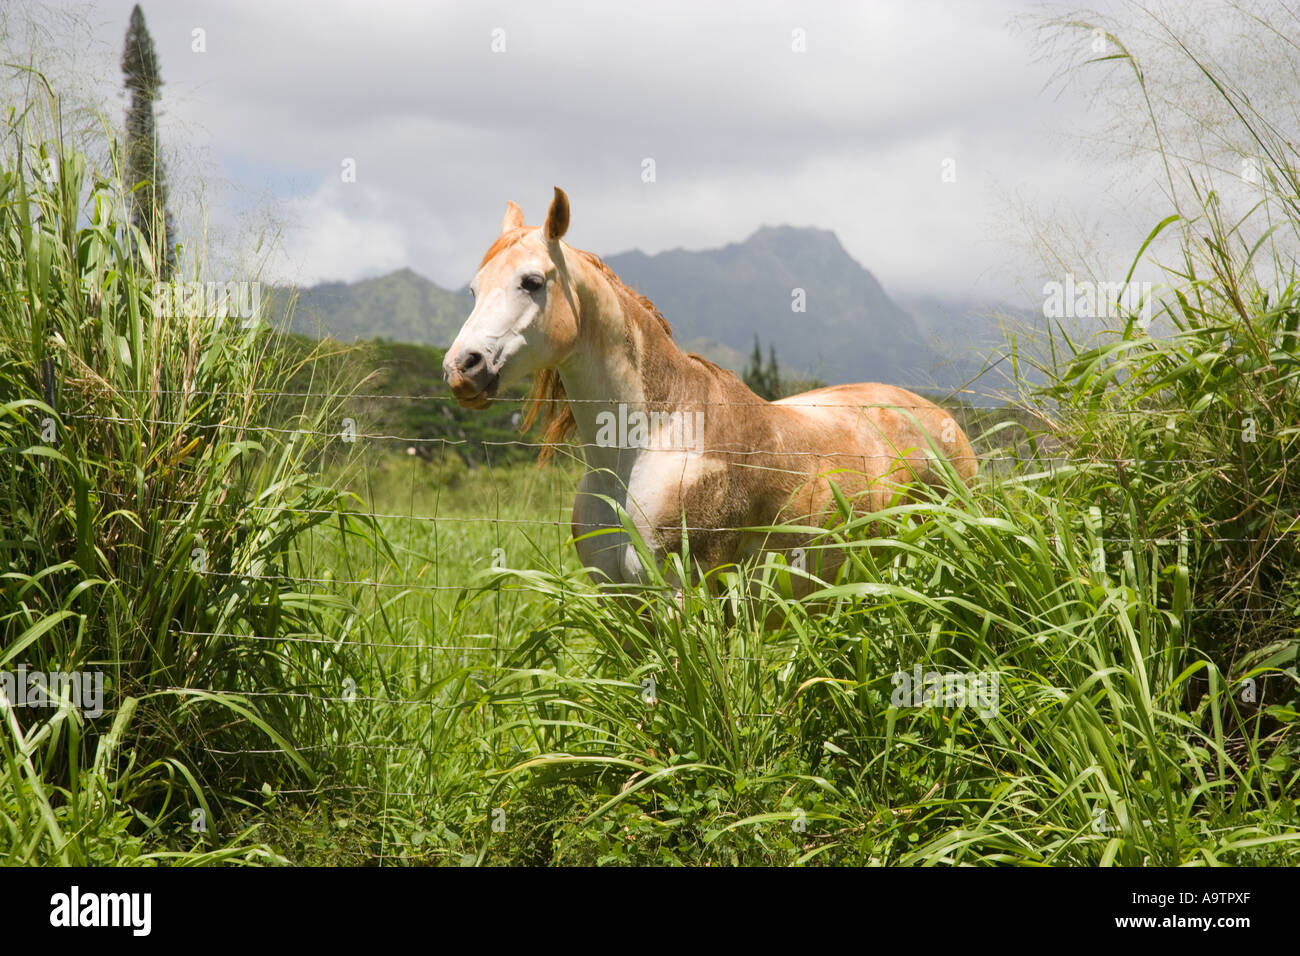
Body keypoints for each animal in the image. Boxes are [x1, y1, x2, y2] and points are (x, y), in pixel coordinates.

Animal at [443, 187, 978, 598]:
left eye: (532, 281)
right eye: (474, 289)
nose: (462, 368)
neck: (646, 443)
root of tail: (945, 422)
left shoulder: (684, 593)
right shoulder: (622, 603)